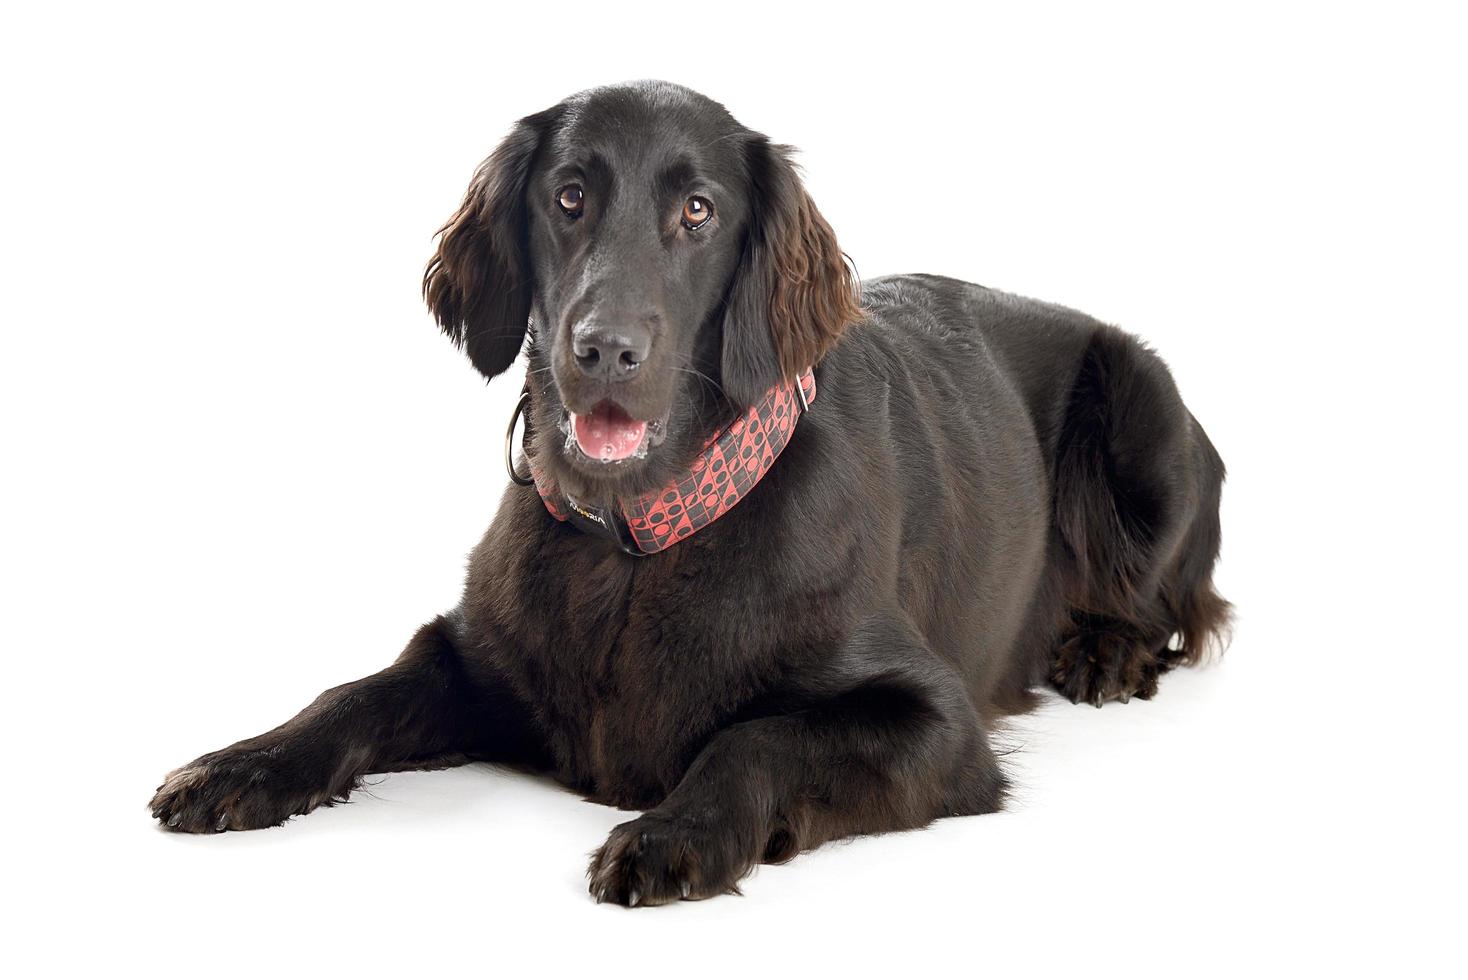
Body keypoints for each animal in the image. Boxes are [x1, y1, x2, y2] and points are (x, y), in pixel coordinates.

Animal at [149, 80, 1227, 909]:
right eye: (569, 196)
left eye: (699, 211)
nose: (604, 349)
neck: (635, 540)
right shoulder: (472, 656)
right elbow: (351, 694)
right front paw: (241, 764)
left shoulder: (938, 721)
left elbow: (757, 736)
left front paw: (674, 832)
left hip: (1139, 414)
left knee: (1176, 602)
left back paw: (1105, 651)